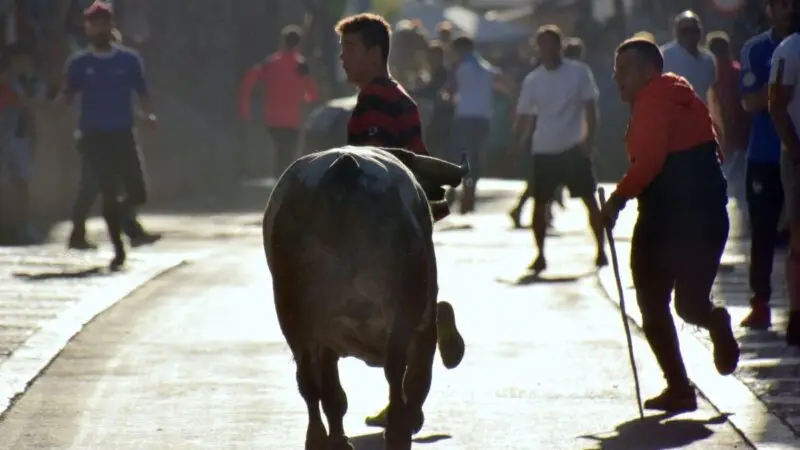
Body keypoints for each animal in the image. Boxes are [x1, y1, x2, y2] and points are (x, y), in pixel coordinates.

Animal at [262, 146, 468, 448]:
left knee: (309, 379)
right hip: (403, 303)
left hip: (292, 311)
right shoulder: (424, 321)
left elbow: (332, 392)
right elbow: (418, 376)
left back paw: (322, 439)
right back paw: (397, 431)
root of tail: (344, 167)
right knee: (396, 370)